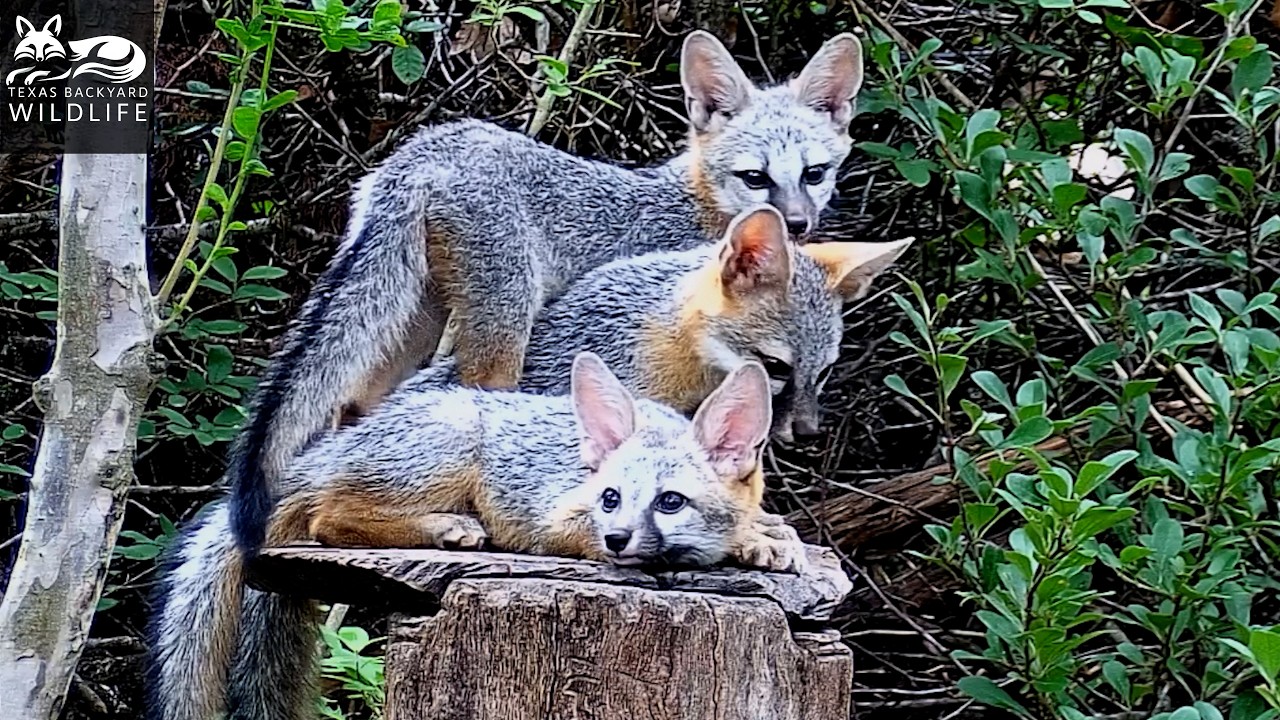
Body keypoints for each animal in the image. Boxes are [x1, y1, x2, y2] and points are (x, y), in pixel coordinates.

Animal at [149, 353, 802, 720]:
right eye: (611, 499)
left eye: (670, 501)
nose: (617, 539)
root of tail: (326, 448)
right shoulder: (554, 517)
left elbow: (767, 526)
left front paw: (765, 539)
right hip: (452, 444)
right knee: (328, 516)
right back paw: (449, 528)